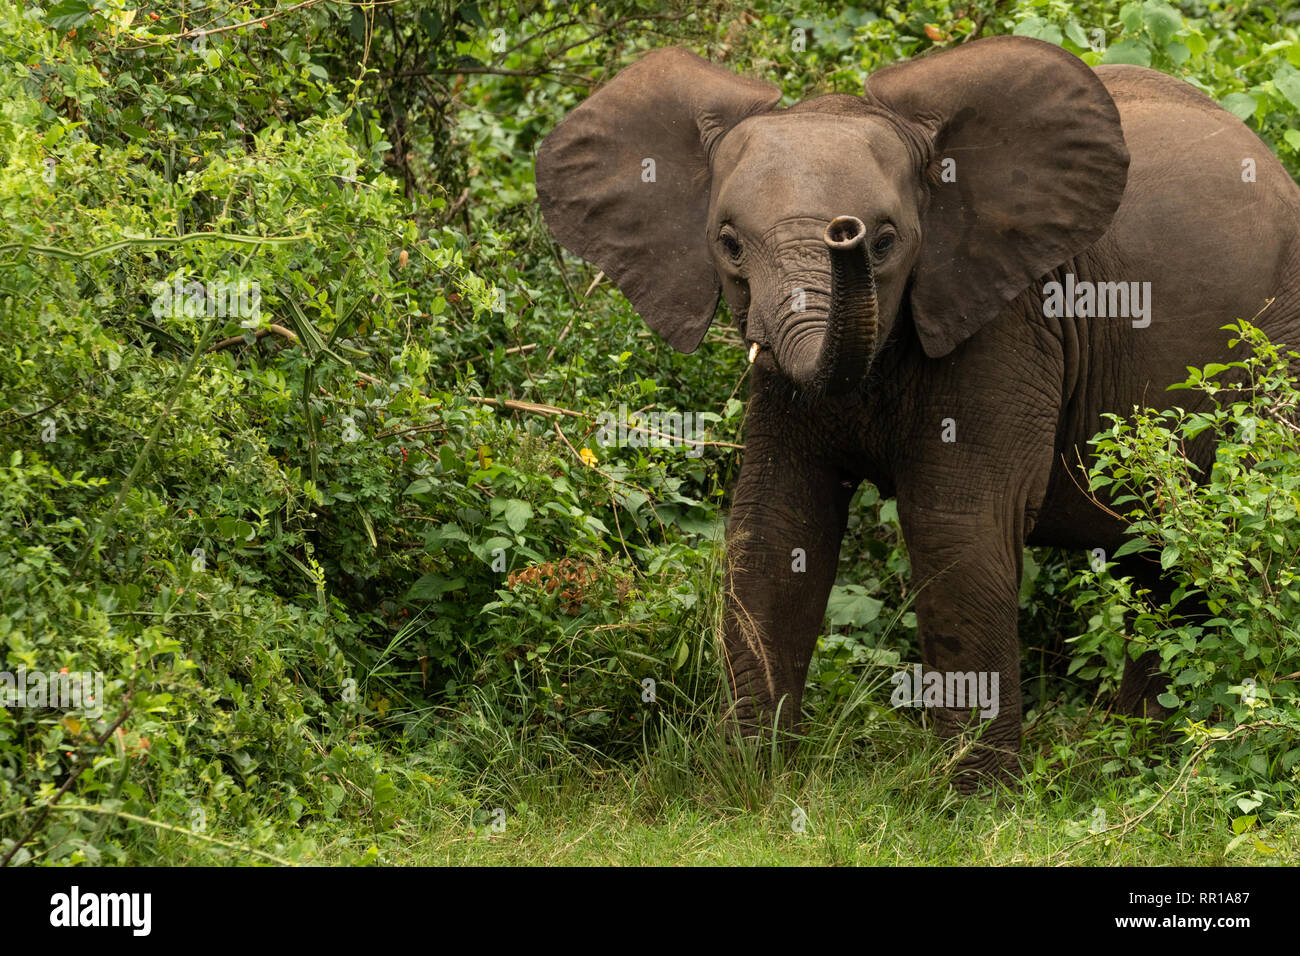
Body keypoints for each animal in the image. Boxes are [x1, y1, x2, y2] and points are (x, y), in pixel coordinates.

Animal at [530, 35, 1300, 785]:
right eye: (729, 244)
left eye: (886, 240)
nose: (843, 234)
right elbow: (775, 522)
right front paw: (747, 778)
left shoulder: (1011, 314)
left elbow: (954, 524)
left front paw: (970, 798)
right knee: (1157, 556)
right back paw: (1144, 745)